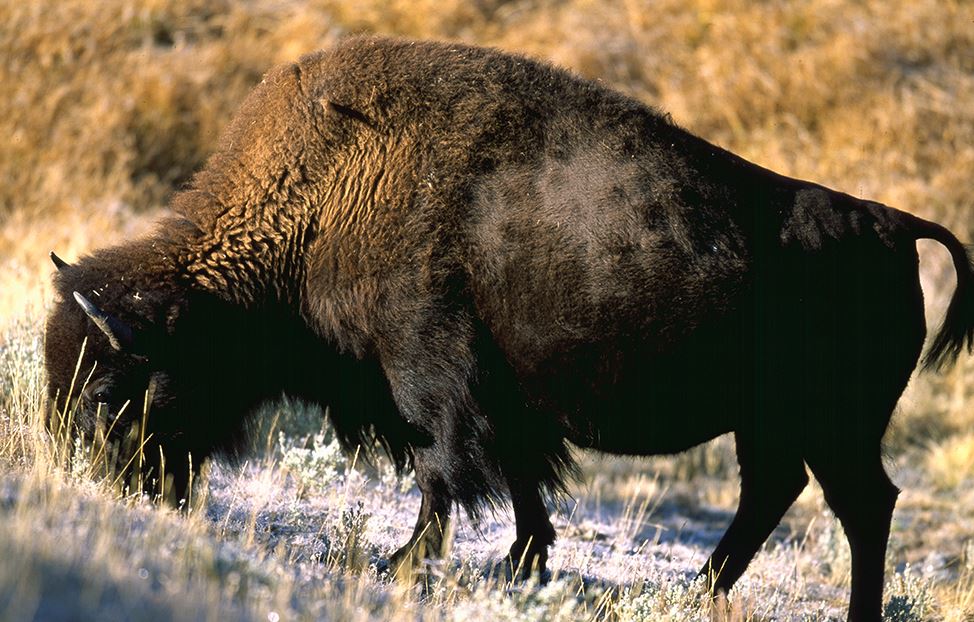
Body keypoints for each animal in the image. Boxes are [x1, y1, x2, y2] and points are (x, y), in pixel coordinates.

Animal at [44, 36, 973, 621]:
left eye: (111, 390)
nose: (103, 482)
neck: (329, 193)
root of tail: (891, 223)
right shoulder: (499, 402)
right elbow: (522, 481)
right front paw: (522, 564)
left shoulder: (429, 377)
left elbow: (442, 472)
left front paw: (402, 563)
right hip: (778, 425)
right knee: (777, 493)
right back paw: (689, 590)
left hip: (834, 426)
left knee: (860, 505)